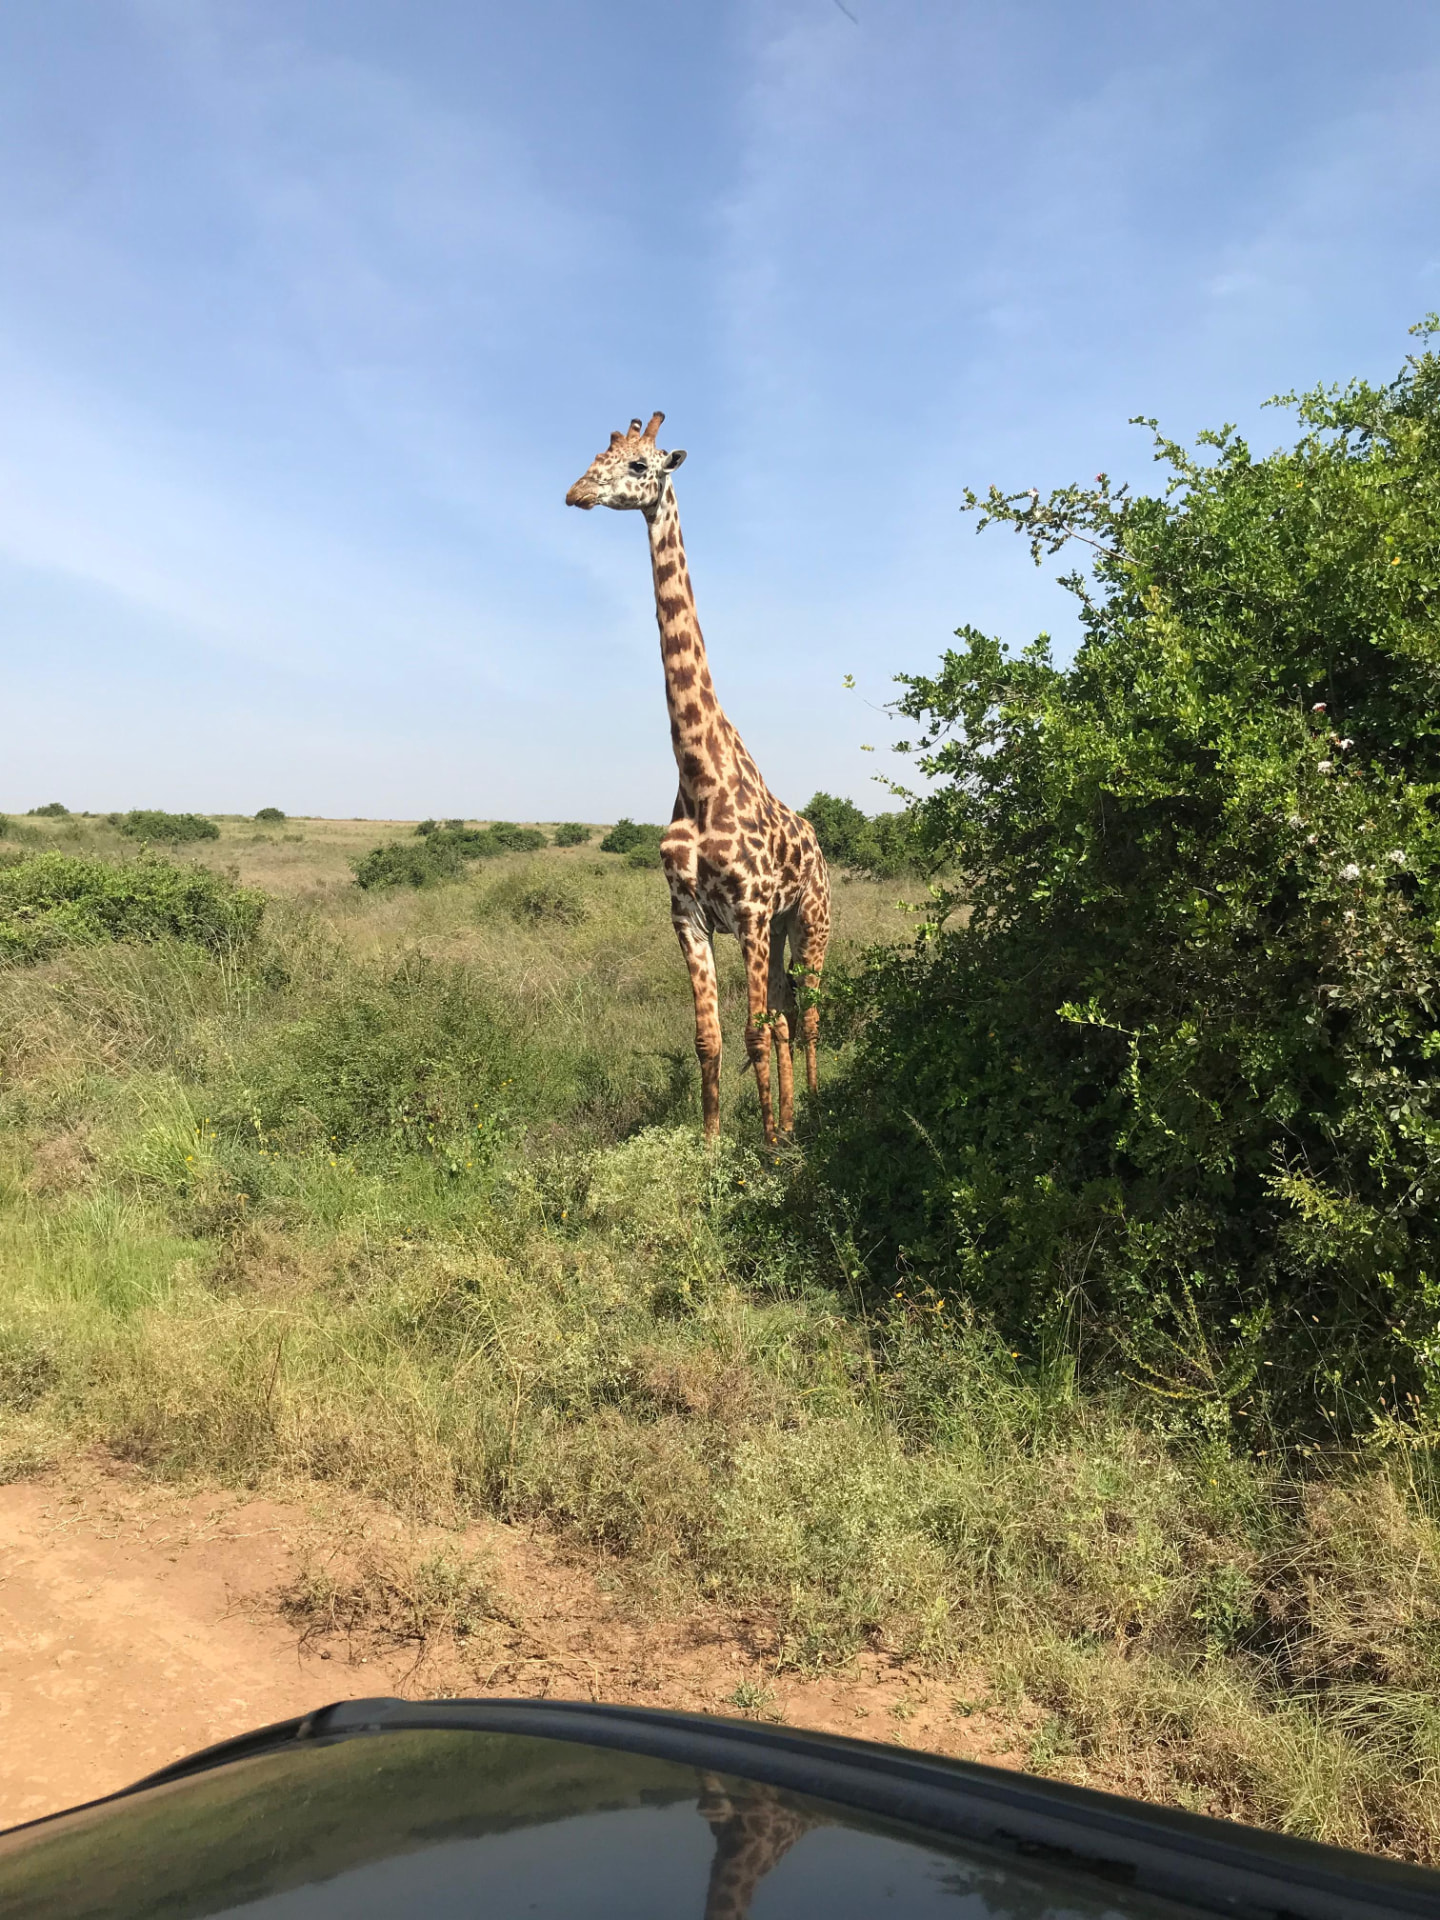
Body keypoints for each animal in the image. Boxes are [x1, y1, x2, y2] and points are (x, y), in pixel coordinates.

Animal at [566, 412, 831, 1145]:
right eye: (595, 456)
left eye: (639, 466)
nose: (576, 493)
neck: (700, 774)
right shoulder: (687, 914)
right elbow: (709, 1039)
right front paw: (713, 1148)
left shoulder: (750, 910)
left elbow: (753, 1032)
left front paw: (764, 1151)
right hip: (778, 928)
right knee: (786, 1013)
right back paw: (792, 1119)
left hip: (810, 921)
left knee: (805, 1014)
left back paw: (811, 1115)